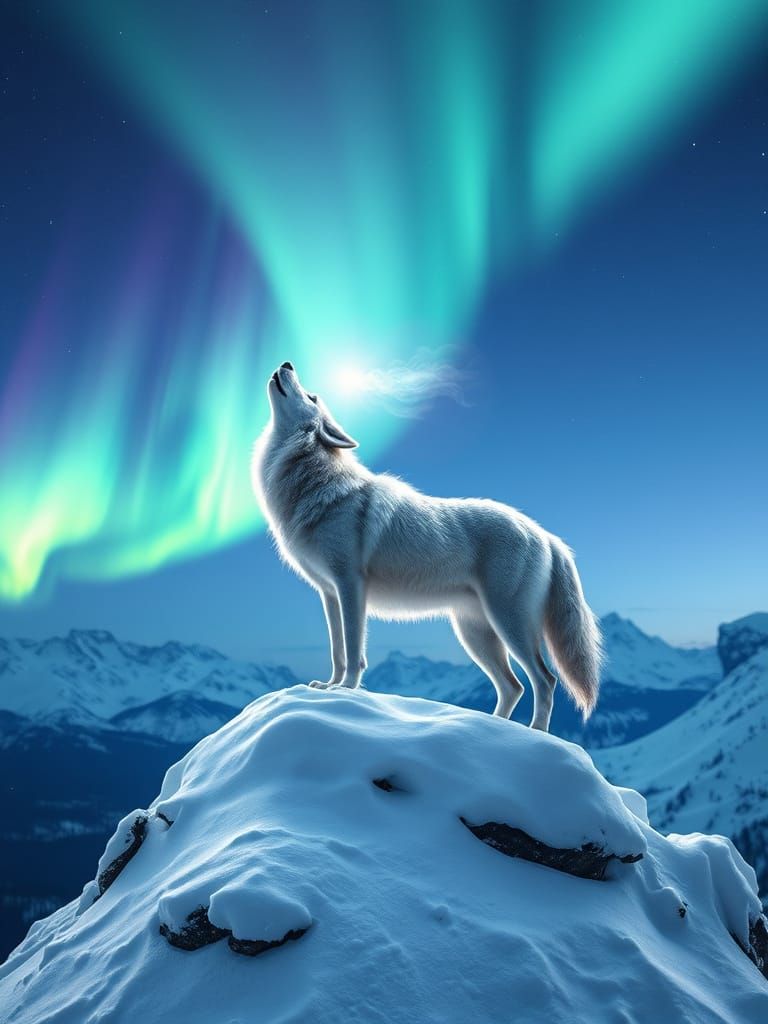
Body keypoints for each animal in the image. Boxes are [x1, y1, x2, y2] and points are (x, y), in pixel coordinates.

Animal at [252, 362, 603, 731]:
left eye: (312, 397)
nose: (287, 364)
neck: (316, 483)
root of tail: (548, 537)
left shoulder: (350, 586)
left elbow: (353, 650)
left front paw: (346, 690)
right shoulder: (329, 593)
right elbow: (337, 650)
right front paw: (329, 686)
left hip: (509, 625)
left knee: (545, 681)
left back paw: (533, 734)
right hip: (474, 634)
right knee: (513, 687)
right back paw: (492, 728)